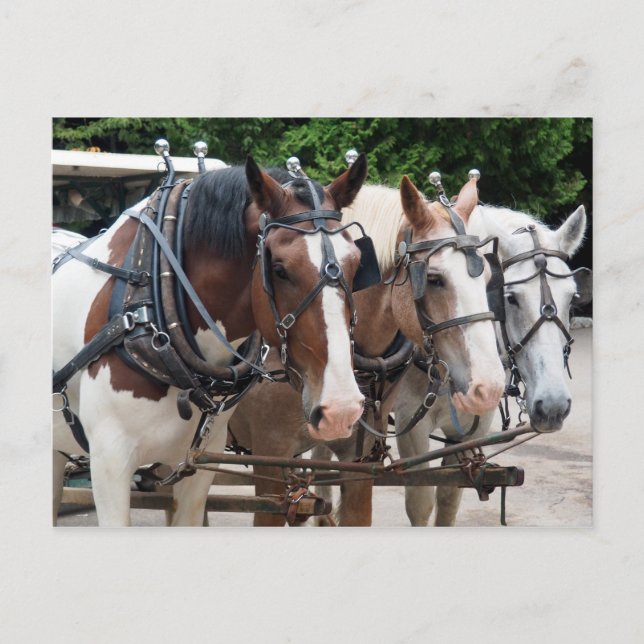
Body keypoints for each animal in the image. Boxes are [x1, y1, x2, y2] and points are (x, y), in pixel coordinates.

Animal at [395, 202, 590, 526]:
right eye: (510, 298)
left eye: (572, 299)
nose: (553, 405)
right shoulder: (410, 425)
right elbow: (419, 501)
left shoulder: (473, 427)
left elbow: (449, 496)